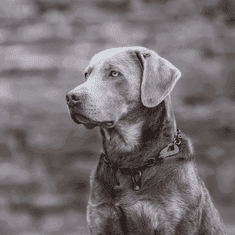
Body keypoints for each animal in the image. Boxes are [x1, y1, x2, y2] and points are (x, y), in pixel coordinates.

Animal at [65, 46, 226, 235]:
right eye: (87, 75)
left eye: (114, 73)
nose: (70, 97)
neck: (130, 161)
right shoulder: (100, 219)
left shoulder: (174, 222)